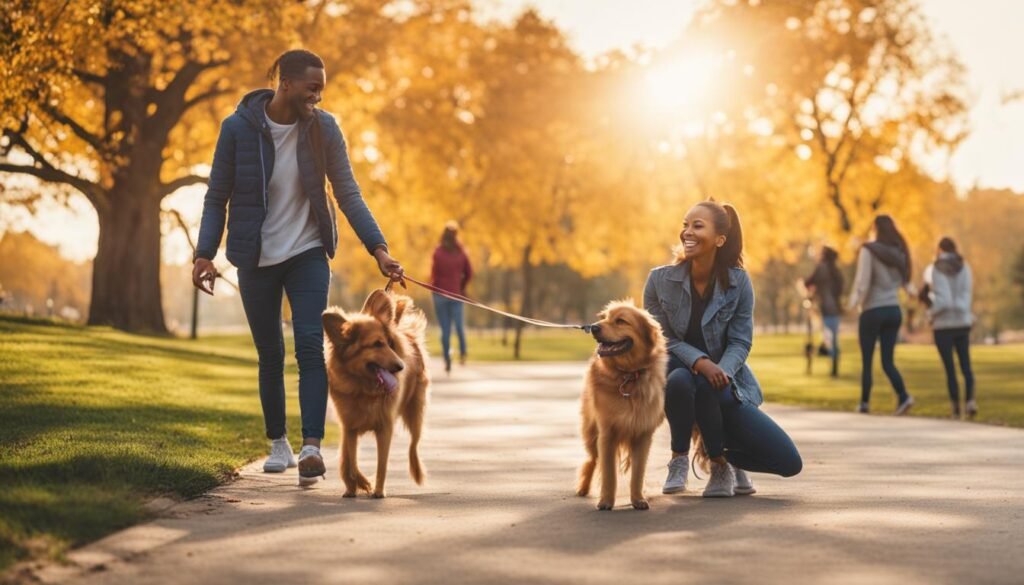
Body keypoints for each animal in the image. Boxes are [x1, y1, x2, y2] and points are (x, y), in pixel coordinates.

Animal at [323, 288, 428, 499]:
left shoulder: (385, 427)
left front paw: (378, 490)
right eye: (377, 344)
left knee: (414, 445)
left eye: (388, 343)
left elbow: (382, 464)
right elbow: (350, 460)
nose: (401, 366)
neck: (362, 389)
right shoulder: (349, 427)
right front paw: (354, 486)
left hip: (416, 413)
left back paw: (417, 471)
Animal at [573, 299, 667, 510]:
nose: (593, 327)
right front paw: (606, 500)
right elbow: (609, 473)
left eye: (621, 321)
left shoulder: (643, 435)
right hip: (591, 434)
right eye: (605, 318)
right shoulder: (607, 434)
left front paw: (638, 498)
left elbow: (638, 472)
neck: (628, 376)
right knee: (592, 460)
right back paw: (583, 488)